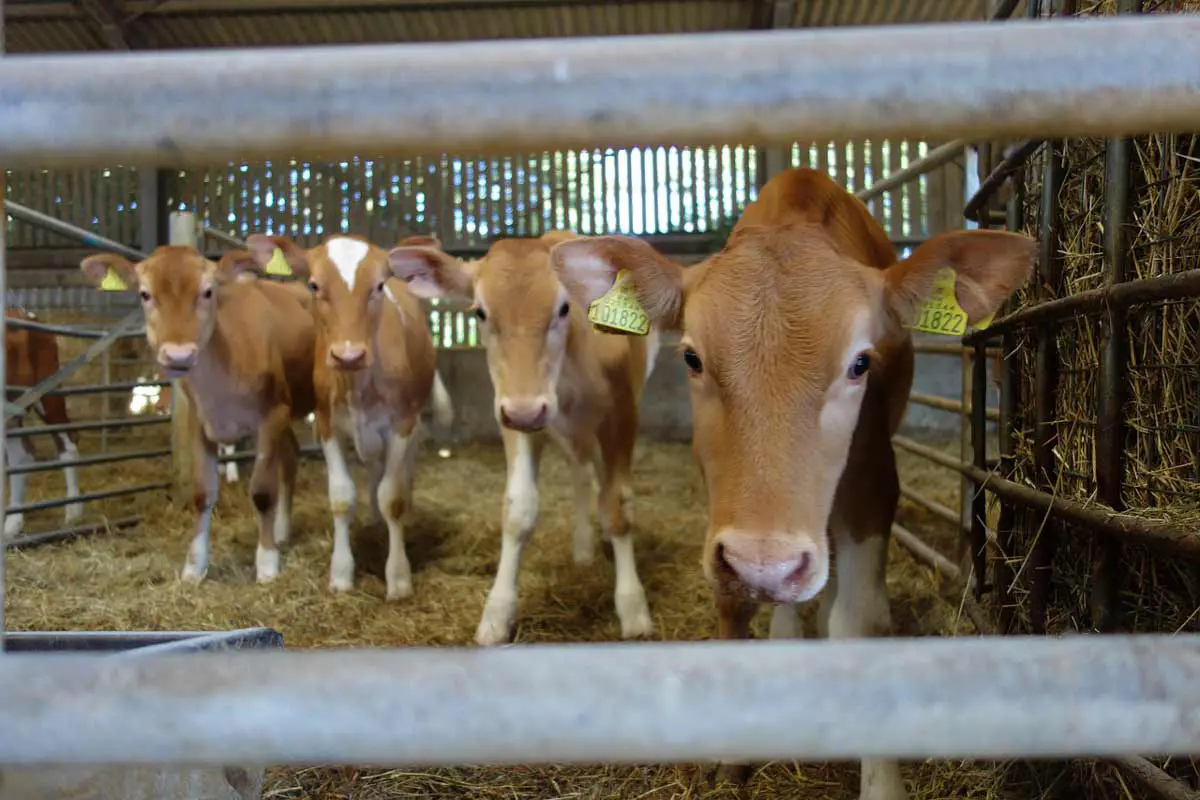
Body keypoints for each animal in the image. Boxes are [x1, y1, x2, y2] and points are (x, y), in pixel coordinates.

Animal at [79, 247, 319, 585]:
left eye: (208, 291)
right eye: (145, 294)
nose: (178, 354)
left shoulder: (272, 415)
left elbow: (261, 491)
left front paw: (267, 563)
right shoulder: (199, 422)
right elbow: (202, 493)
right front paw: (194, 566)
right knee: (292, 456)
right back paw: (283, 529)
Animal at [241, 231, 451, 599]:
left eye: (379, 285)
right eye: (313, 284)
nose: (348, 355)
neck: (357, 384)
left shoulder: (401, 424)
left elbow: (393, 496)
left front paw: (399, 578)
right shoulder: (327, 424)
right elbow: (341, 498)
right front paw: (341, 574)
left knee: (401, 474)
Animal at [388, 230, 657, 642]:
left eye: (563, 308)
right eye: (481, 313)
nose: (526, 411)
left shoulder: (622, 414)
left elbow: (617, 504)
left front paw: (633, 607)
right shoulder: (513, 417)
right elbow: (518, 509)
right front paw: (496, 614)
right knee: (582, 473)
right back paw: (583, 548)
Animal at [549, 167, 1036, 796]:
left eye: (860, 363)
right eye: (691, 358)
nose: (766, 565)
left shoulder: (875, 480)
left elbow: (856, 623)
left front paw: (882, 780)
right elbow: (733, 606)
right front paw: (733, 750)